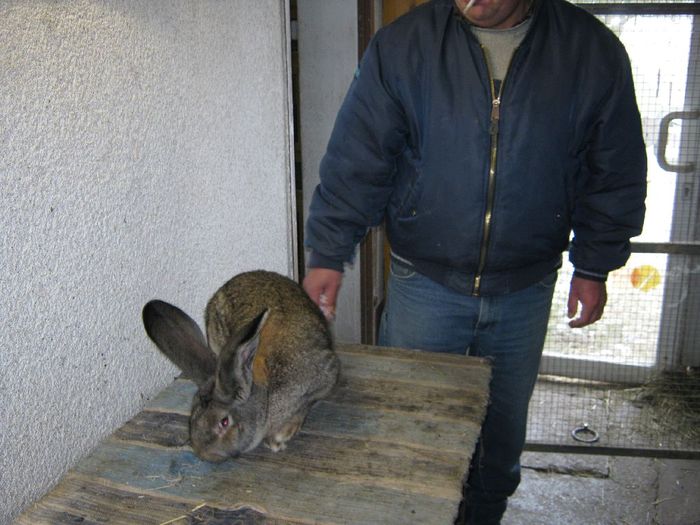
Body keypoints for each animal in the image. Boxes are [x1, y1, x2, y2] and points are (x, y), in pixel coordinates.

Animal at [142, 270, 340, 462]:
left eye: (224, 422)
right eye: (191, 420)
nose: (205, 454)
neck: (265, 400)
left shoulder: (323, 379)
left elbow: (304, 407)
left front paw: (279, 437)